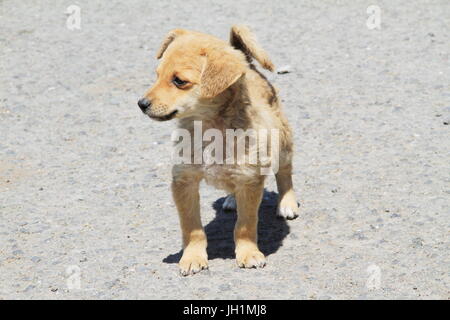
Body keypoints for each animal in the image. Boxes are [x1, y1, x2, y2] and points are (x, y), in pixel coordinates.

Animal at [137, 25, 298, 276]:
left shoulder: (250, 180)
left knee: (285, 173)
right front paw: (192, 257)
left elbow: (245, 225)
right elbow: (191, 227)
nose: (141, 104)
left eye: (179, 81)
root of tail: (248, 63)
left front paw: (248, 253)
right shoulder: (184, 181)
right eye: (157, 75)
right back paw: (232, 199)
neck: (209, 129)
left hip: (282, 141)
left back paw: (287, 202)